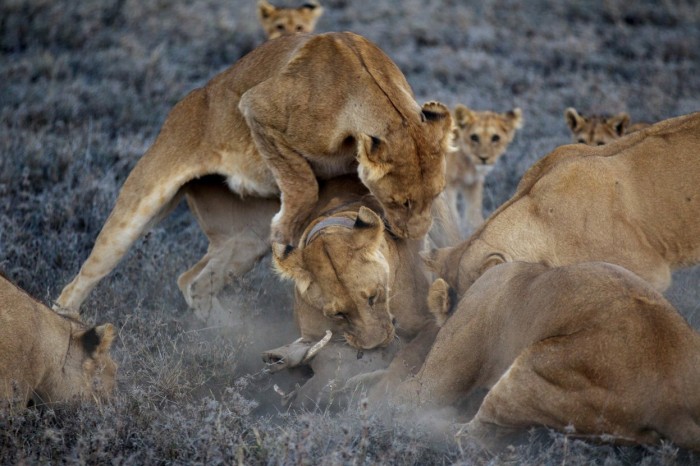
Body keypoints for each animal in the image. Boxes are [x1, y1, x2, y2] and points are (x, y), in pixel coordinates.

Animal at [54, 32, 453, 315]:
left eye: (433, 195)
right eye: (399, 202)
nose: (414, 234)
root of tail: (180, 106)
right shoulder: (258, 108)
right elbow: (302, 180)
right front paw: (286, 230)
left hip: (243, 241)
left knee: (192, 281)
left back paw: (224, 334)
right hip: (142, 202)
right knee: (85, 276)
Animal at [446, 105, 523, 235]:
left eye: (495, 138)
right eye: (474, 137)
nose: (483, 158)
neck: (467, 163)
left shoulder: (473, 183)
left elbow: (474, 213)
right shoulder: (448, 185)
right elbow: (452, 217)